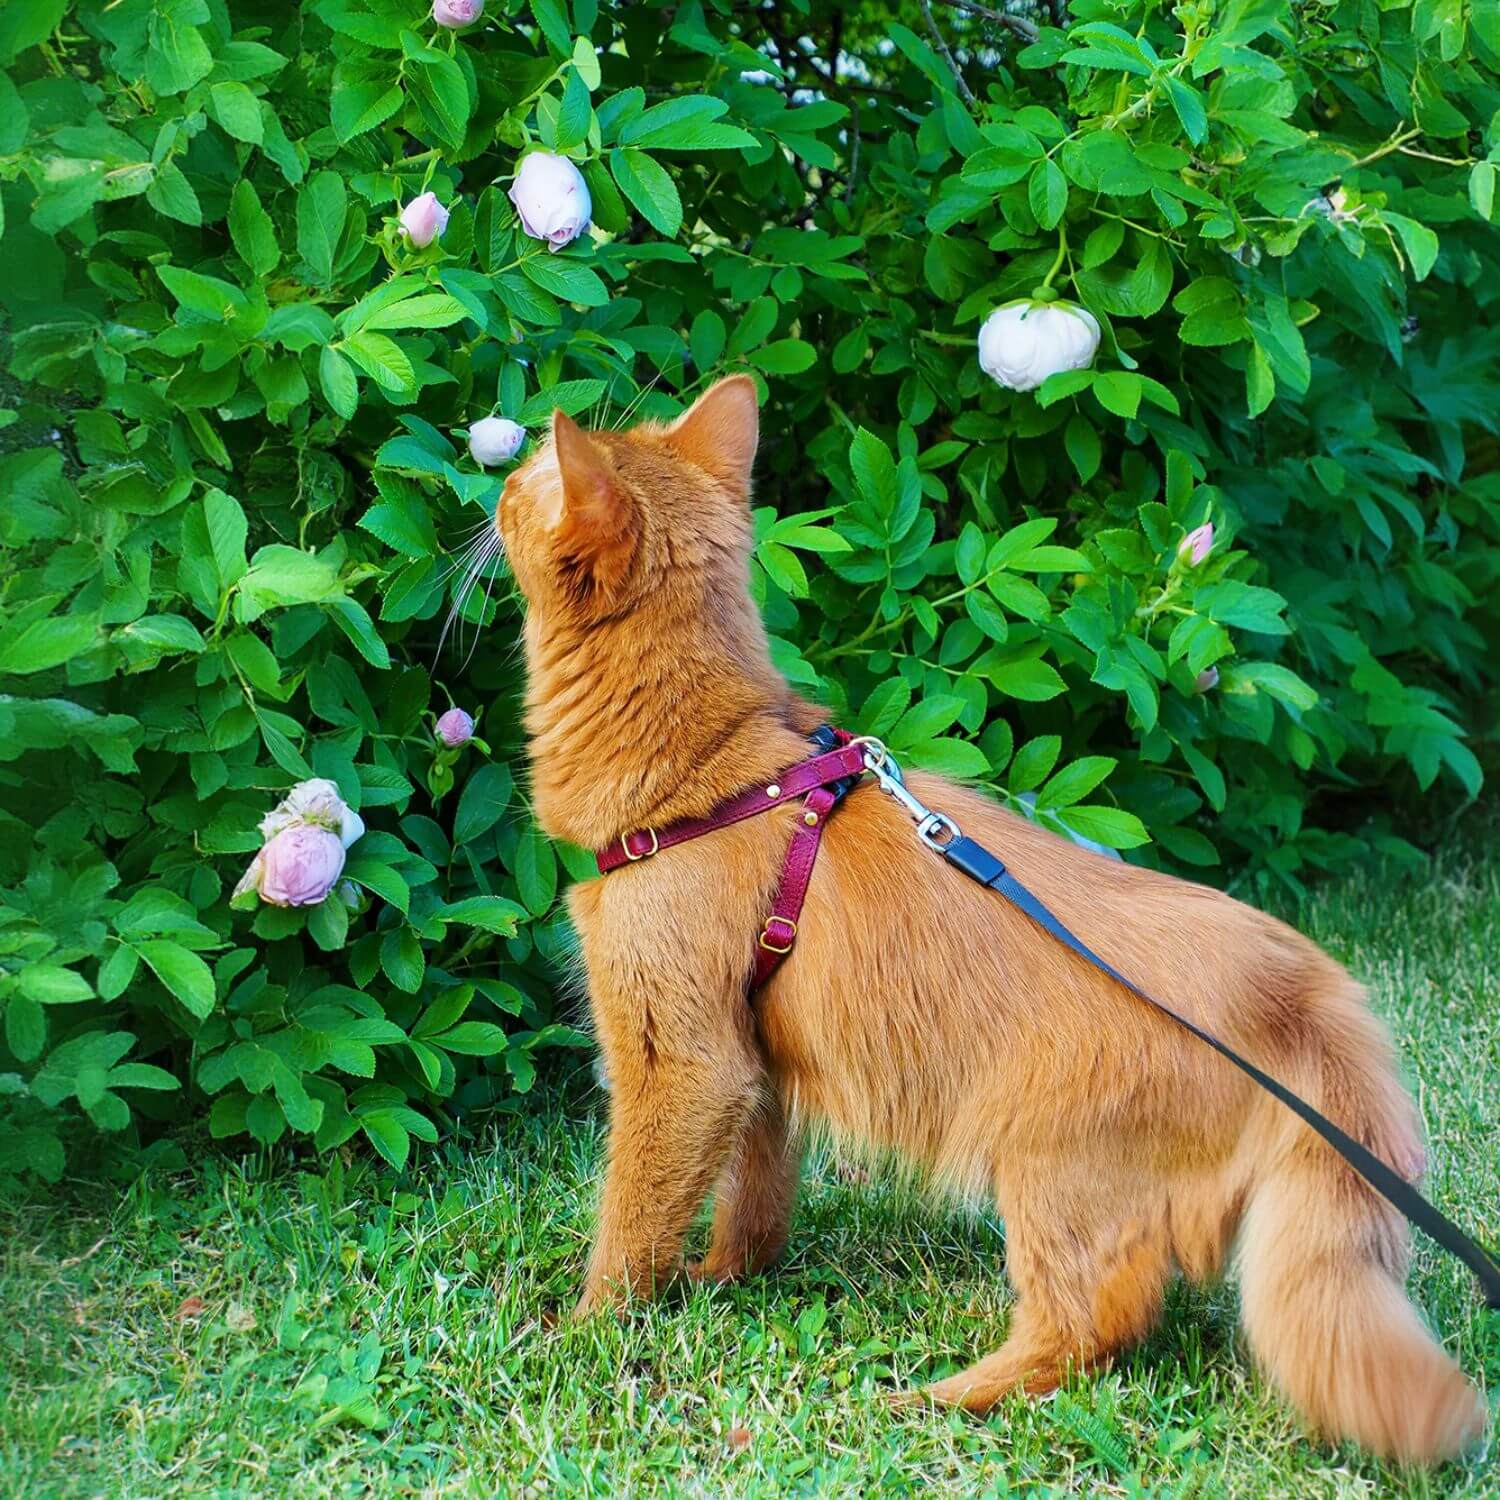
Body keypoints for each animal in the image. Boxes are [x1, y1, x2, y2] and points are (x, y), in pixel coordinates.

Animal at [495, 378, 1488, 1464]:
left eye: (528, 483)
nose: (494, 474)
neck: (713, 770)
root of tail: (1305, 992)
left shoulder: (680, 1060)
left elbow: (631, 1224)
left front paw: (586, 1330)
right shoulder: (759, 1062)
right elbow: (753, 1205)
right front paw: (722, 1282)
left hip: (1049, 1171)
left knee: (1091, 1327)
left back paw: (935, 1398)